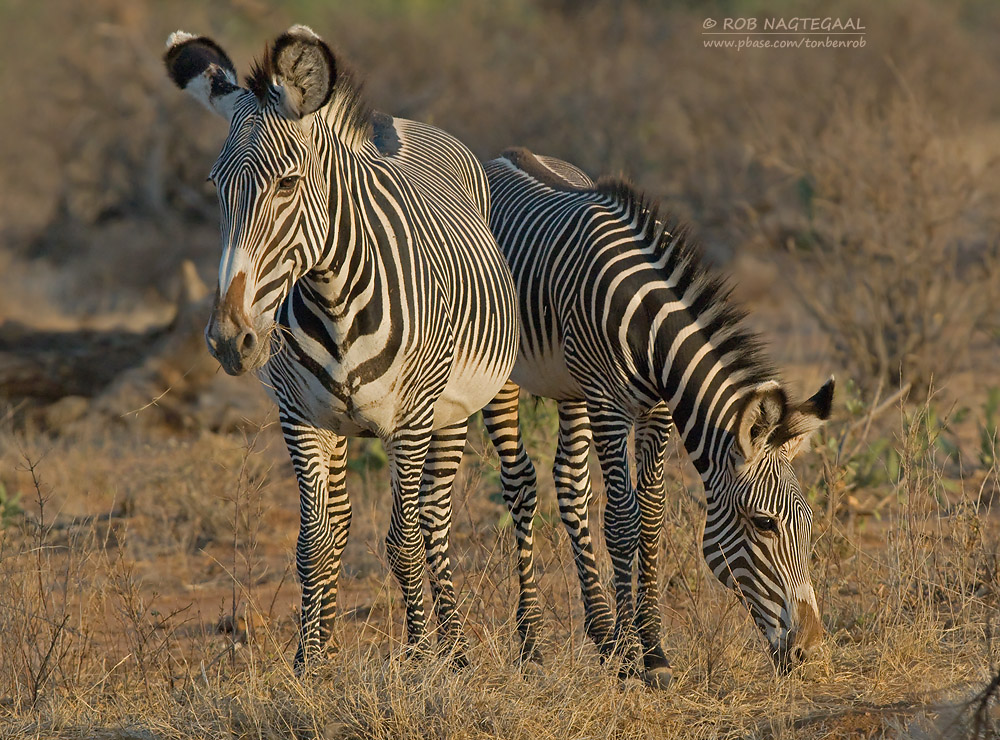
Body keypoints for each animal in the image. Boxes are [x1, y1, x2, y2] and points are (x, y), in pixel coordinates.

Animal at [163, 27, 516, 664]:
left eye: (287, 183)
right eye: (215, 187)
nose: (229, 341)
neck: (333, 297)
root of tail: (401, 124)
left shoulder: (412, 417)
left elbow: (402, 541)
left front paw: (420, 659)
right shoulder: (299, 416)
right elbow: (315, 543)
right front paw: (311, 661)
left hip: (467, 401)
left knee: (437, 518)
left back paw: (457, 647)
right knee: (351, 521)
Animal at [484, 147, 836, 684]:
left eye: (808, 523)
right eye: (764, 525)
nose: (811, 652)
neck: (649, 327)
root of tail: (502, 157)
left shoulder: (656, 410)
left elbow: (649, 516)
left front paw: (650, 650)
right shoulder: (608, 405)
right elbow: (621, 520)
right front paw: (633, 657)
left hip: (569, 385)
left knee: (569, 482)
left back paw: (601, 632)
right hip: (502, 371)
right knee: (519, 482)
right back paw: (531, 644)